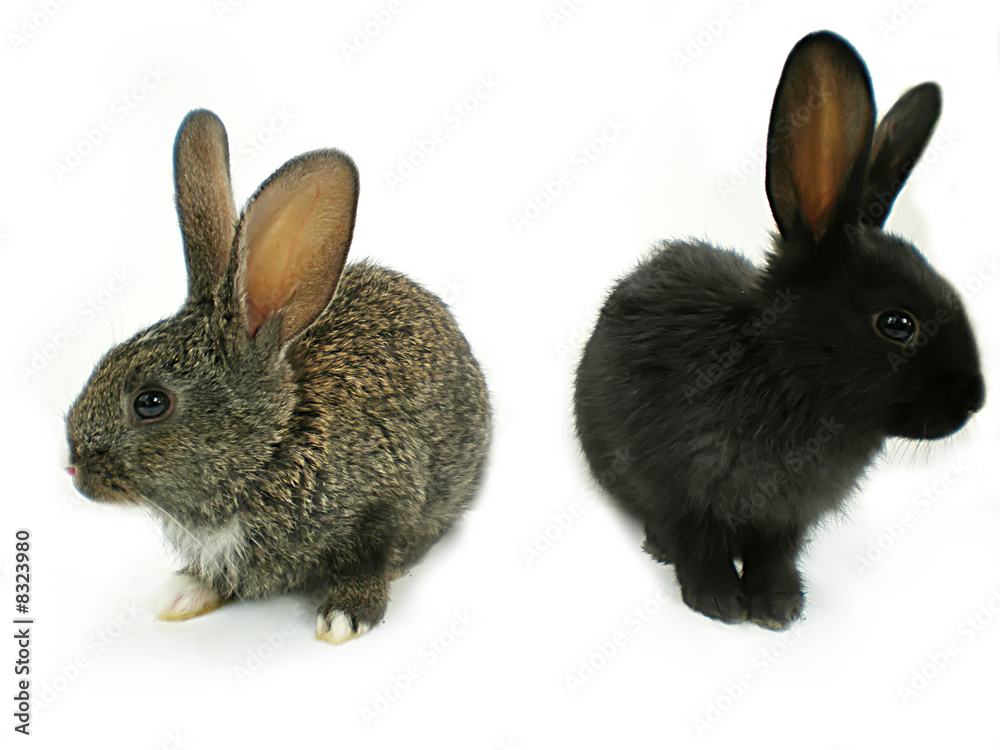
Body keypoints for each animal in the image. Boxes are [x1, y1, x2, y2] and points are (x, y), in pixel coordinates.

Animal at [66, 109, 491, 644]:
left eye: (151, 402)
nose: (74, 468)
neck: (272, 450)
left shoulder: (386, 502)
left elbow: (369, 560)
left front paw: (345, 617)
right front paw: (186, 594)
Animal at [573, 31, 985, 630]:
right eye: (897, 324)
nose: (974, 401)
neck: (784, 373)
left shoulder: (786, 517)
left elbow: (775, 553)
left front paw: (778, 607)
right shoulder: (680, 489)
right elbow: (697, 541)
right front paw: (719, 602)